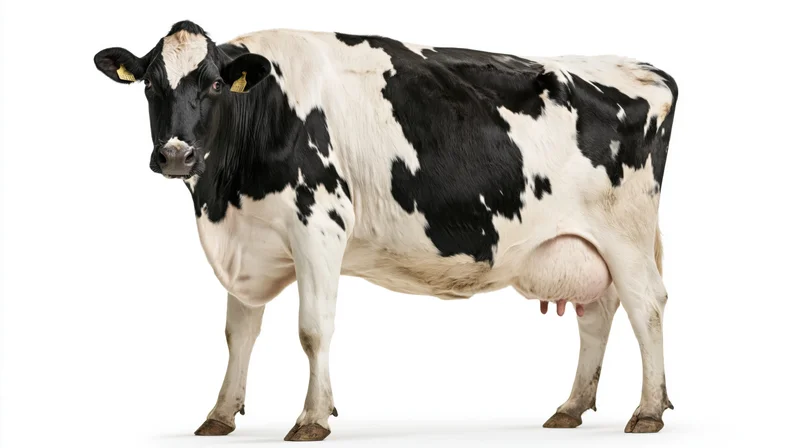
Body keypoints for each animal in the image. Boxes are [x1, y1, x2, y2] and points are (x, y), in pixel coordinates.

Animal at [93, 20, 678, 441]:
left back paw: (648, 411)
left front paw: (312, 418)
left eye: (215, 84)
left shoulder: (318, 224)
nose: (176, 155)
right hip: (583, 244)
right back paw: (572, 407)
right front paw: (219, 414)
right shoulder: (248, 239)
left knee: (646, 306)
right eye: (149, 85)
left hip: (625, 235)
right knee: (597, 313)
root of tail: (644, 67)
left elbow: (313, 328)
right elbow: (239, 333)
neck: (223, 198)